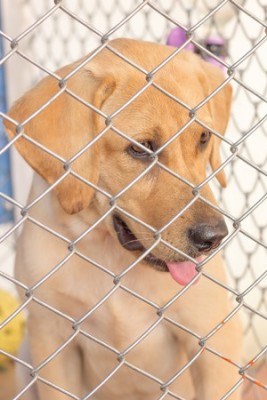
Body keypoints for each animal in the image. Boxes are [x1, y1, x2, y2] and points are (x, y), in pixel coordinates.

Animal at [4, 38, 244, 400]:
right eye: (140, 148)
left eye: (203, 138)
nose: (213, 237)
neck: (113, 258)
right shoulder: (52, 340)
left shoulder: (211, 339)